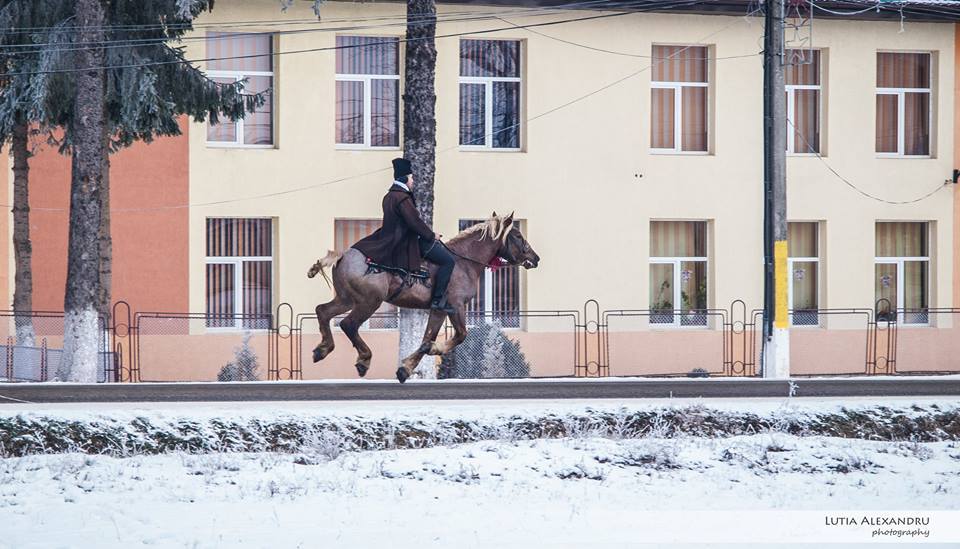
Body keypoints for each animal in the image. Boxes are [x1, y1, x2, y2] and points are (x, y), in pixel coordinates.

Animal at [308, 212, 540, 384]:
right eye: (518, 236)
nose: (535, 257)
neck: (463, 262)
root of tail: (342, 256)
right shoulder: (455, 306)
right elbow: (459, 336)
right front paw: (429, 353)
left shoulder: (439, 309)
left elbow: (427, 339)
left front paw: (405, 368)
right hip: (369, 302)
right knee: (349, 324)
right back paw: (363, 360)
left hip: (347, 299)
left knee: (323, 311)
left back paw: (322, 349)